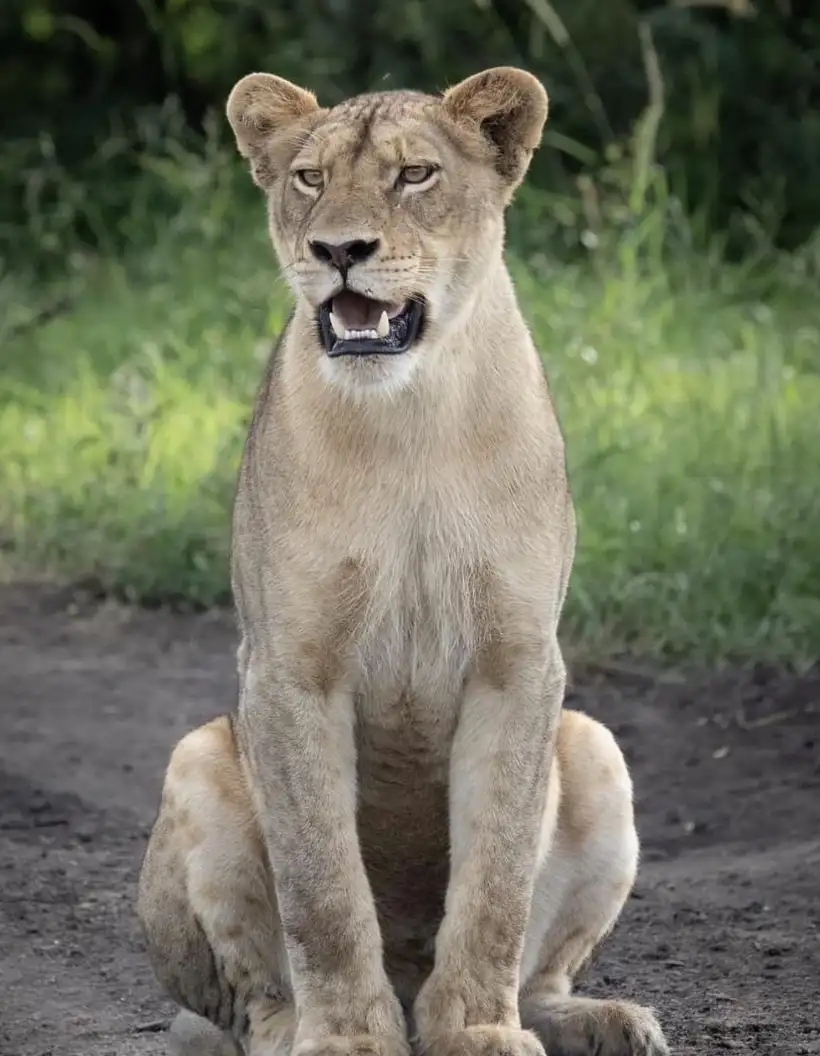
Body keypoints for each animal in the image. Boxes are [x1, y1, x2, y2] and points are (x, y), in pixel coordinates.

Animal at [137, 67, 669, 1056]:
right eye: (308, 178)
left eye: (415, 174)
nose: (338, 248)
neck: (409, 419)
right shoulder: (289, 670)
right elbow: (323, 890)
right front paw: (348, 1036)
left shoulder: (519, 662)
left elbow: (495, 882)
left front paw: (480, 1029)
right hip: (200, 759)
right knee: (244, 1002)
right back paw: (292, 1031)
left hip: (595, 746)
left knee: (542, 971)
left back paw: (601, 1020)